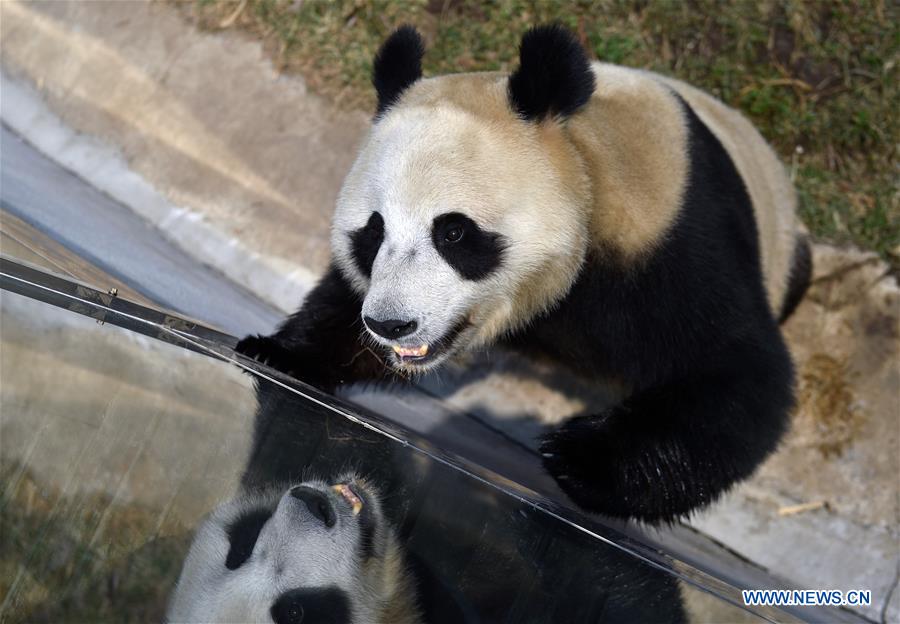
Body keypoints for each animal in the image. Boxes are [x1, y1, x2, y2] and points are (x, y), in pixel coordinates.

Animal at [237, 24, 812, 524]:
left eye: (453, 233)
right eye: (373, 232)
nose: (392, 325)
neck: (585, 160)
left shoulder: (669, 239)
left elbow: (737, 372)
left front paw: (578, 457)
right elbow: (340, 308)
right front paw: (278, 354)